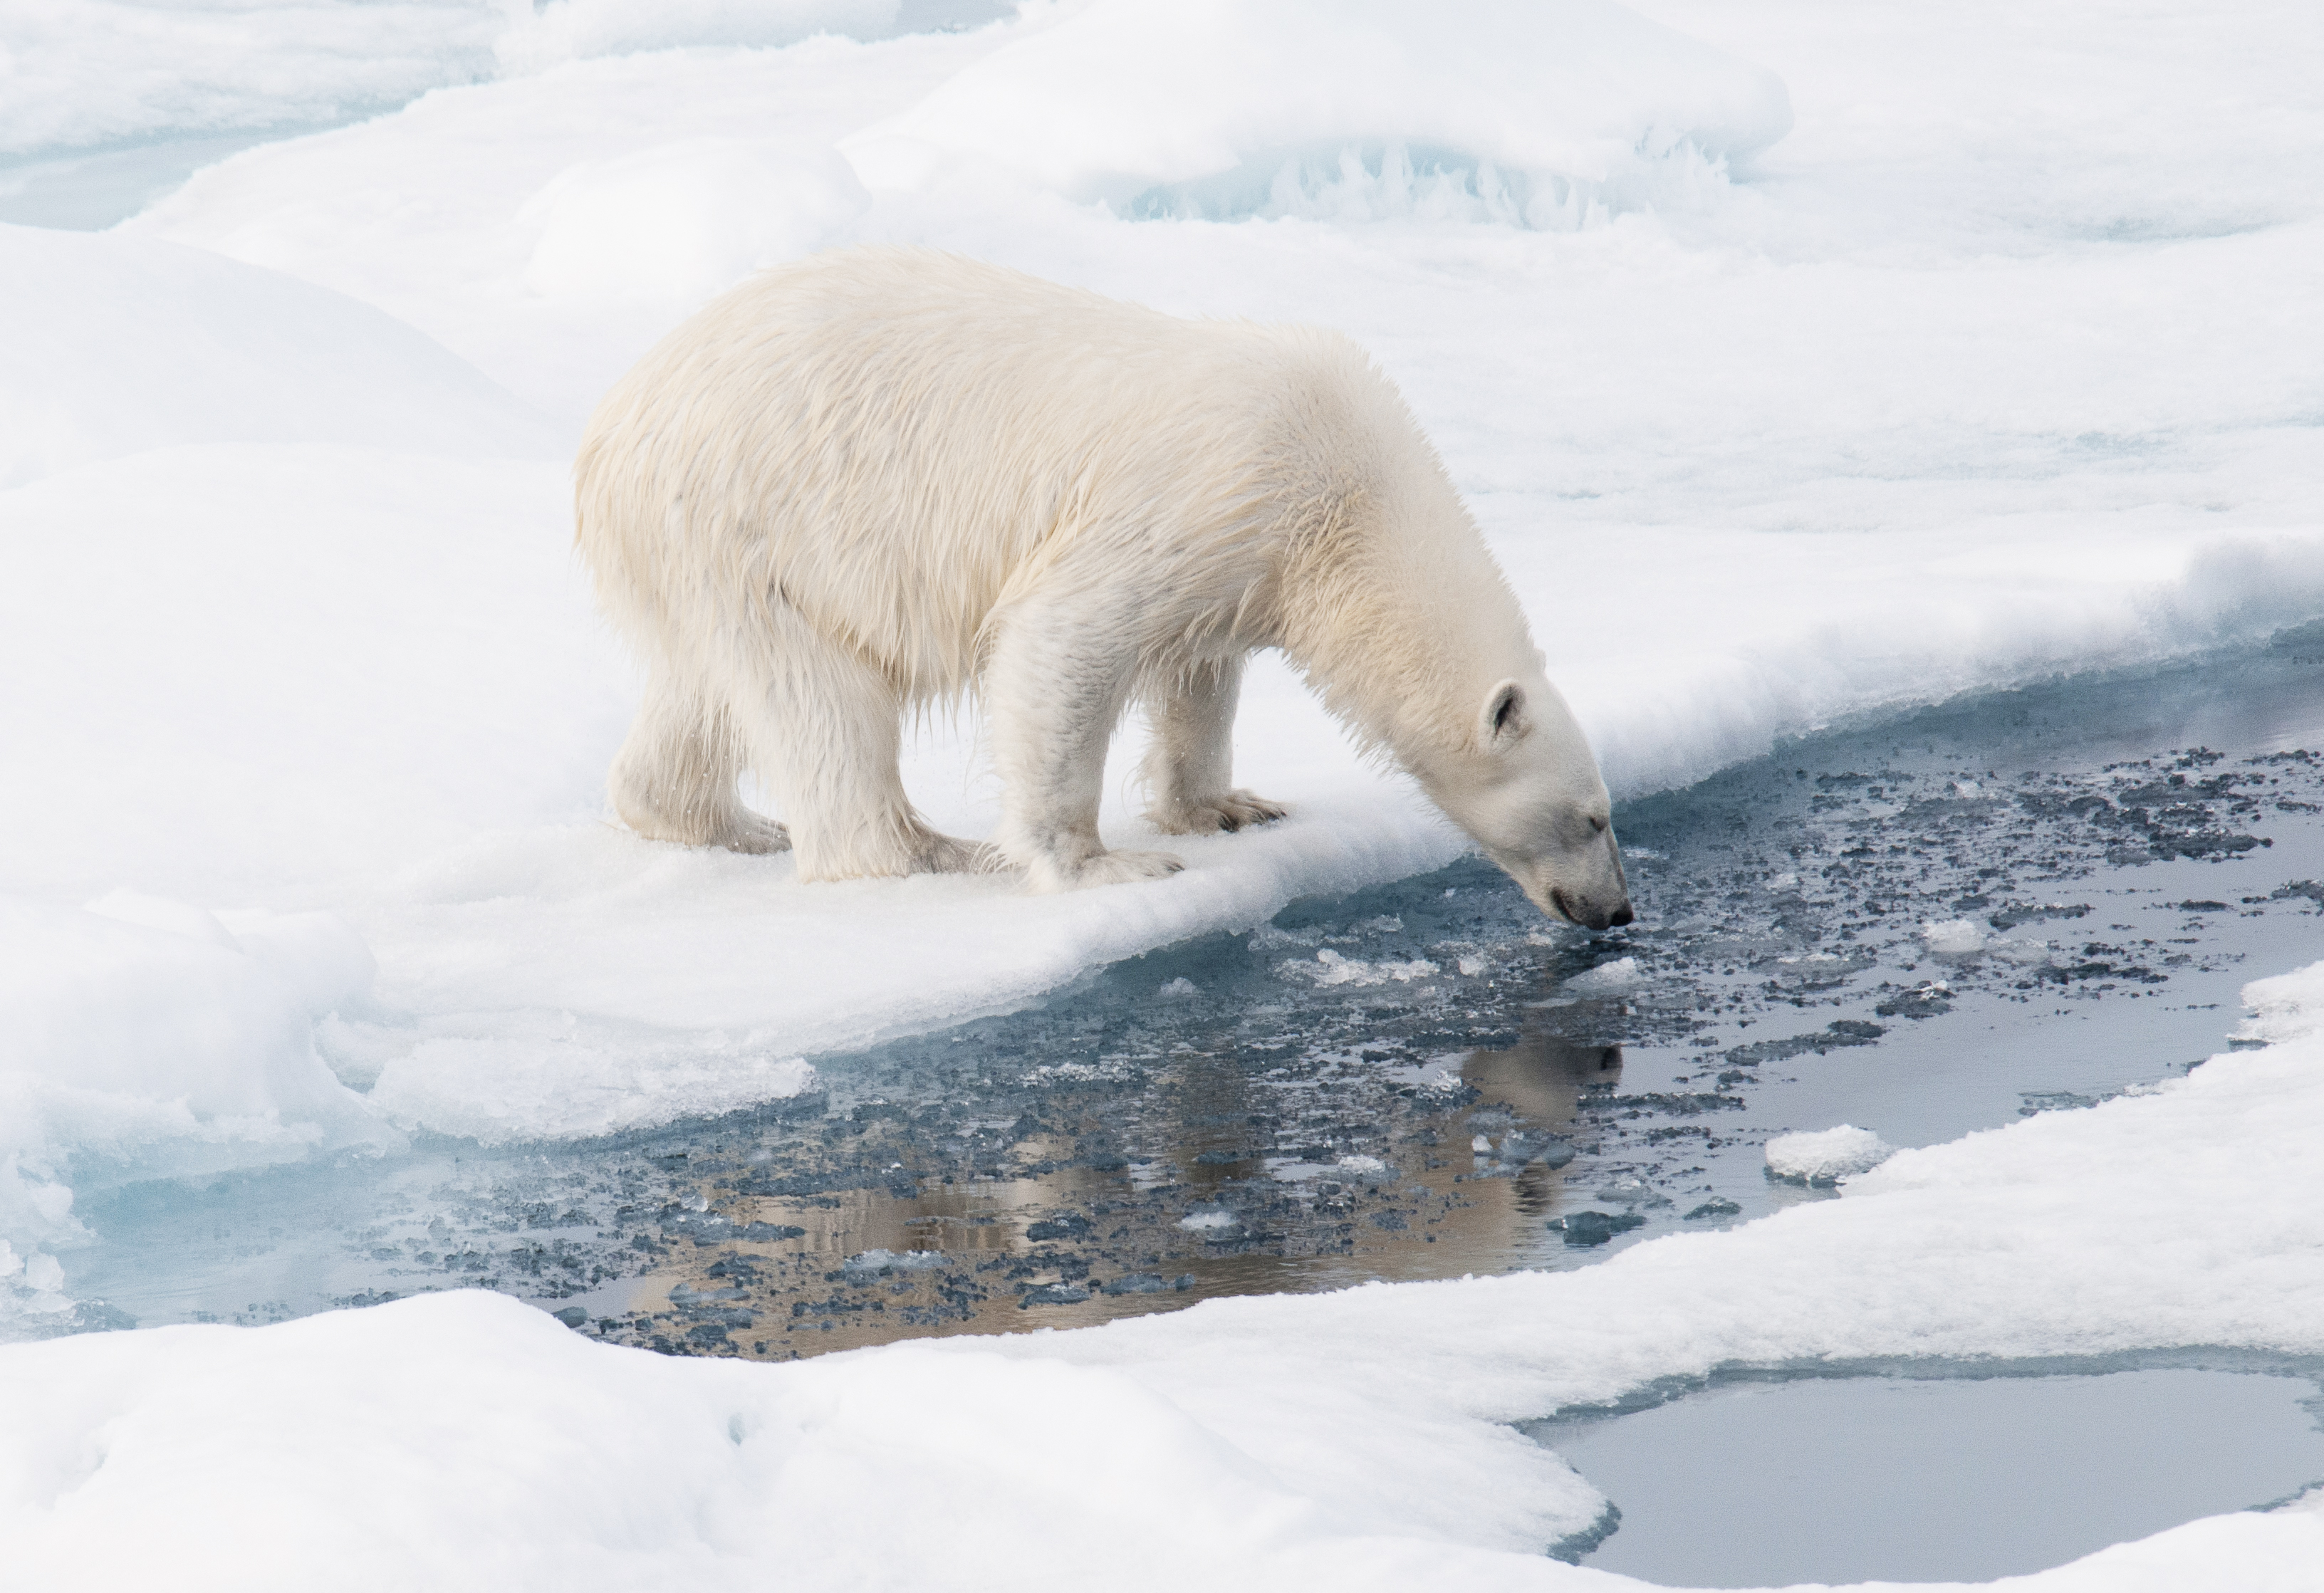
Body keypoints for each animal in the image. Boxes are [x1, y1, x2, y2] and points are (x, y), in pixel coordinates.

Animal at [575, 247, 1632, 929]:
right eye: (1592, 816)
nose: (1616, 911)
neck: (1350, 497)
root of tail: (613, 422)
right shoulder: (1206, 490)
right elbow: (1061, 641)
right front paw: (1103, 863)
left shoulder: (1245, 556)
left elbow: (1201, 674)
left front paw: (1227, 806)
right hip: (767, 515)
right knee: (822, 701)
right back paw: (924, 850)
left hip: (706, 556)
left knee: (710, 688)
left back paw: (717, 819)